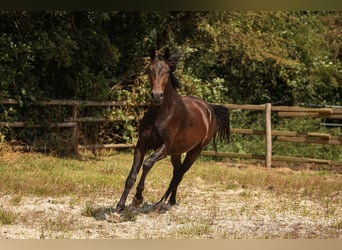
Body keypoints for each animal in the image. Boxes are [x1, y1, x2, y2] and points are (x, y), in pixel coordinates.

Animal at [115, 48, 230, 211]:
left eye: (167, 71)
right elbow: (132, 175)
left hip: (194, 152)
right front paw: (120, 205)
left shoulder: (165, 147)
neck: (161, 113)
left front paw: (138, 198)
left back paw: (160, 203)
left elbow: (147, 163)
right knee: (177, 171)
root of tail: (209, 109)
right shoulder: (141, 144)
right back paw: (171, 201)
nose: (157, 95)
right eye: (149, 70)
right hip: (177, 152)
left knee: (179, 174)